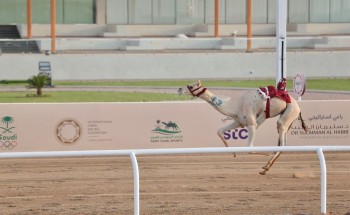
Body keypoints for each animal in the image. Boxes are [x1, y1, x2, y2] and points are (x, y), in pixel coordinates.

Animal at [178, 80, 306, 175]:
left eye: (191, 85)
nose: (179, 89)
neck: (235, 106)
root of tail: (298, 107)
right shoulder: (239, 122)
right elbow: (219, 131)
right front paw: (234, 153)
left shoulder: (252, 124)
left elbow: (249, 148)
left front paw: (265, 153)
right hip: (287, 119)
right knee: (282, 143)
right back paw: (265, 168)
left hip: (289, 113)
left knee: (282, 139)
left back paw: (266, 166)